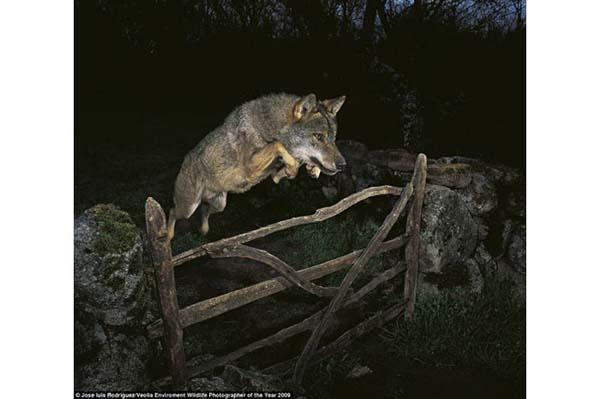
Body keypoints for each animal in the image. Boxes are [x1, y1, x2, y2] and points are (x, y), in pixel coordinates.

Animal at [168, 93, 346, 241]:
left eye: (333, 138)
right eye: (319, 136)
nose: (342, 165)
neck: (270, 127)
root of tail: (185, 161)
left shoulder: (271, 171)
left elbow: (286, 166)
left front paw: (311, 169)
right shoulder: (250, 167)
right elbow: (278, 145)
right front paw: (293, 167)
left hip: (219, 205)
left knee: (204, 210)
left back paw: (203, 230)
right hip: (188, 208)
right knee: (172, 211)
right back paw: (167, 236)